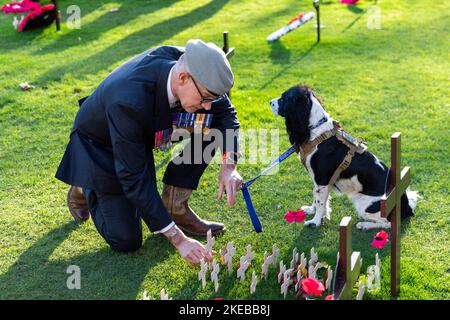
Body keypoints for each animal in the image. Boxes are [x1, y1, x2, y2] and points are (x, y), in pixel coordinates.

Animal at [268, 85, 420, 230]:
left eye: (283, 98)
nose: (270, 102)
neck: (317, 131)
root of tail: (407, 207)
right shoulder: (320, 181)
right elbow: (316, 197)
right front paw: (312, 210)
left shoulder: (321, 180)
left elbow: (320, 202)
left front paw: (315, 222)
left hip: (363, 203)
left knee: (389, 223)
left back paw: (364, 225)